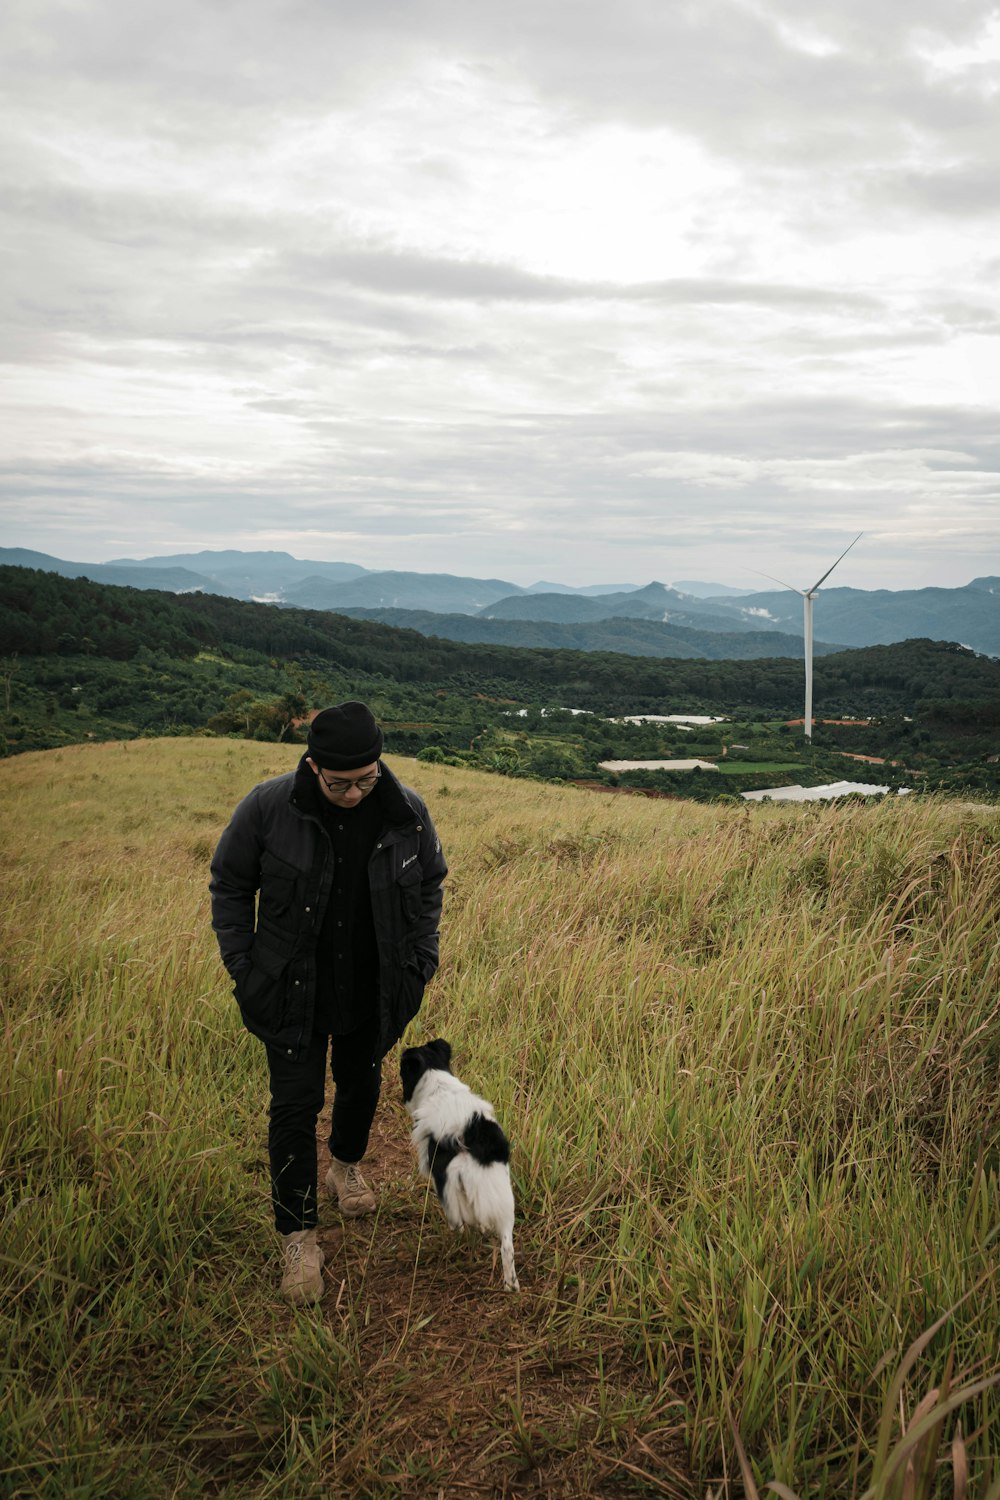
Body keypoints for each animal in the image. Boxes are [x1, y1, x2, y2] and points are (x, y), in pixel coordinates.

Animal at [401, 1038, 524, 1296]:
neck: (439, 1086)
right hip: (503, 1199)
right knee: (507, 1247)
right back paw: (510, 1285)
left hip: (453, 1195)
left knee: (461, 1226)